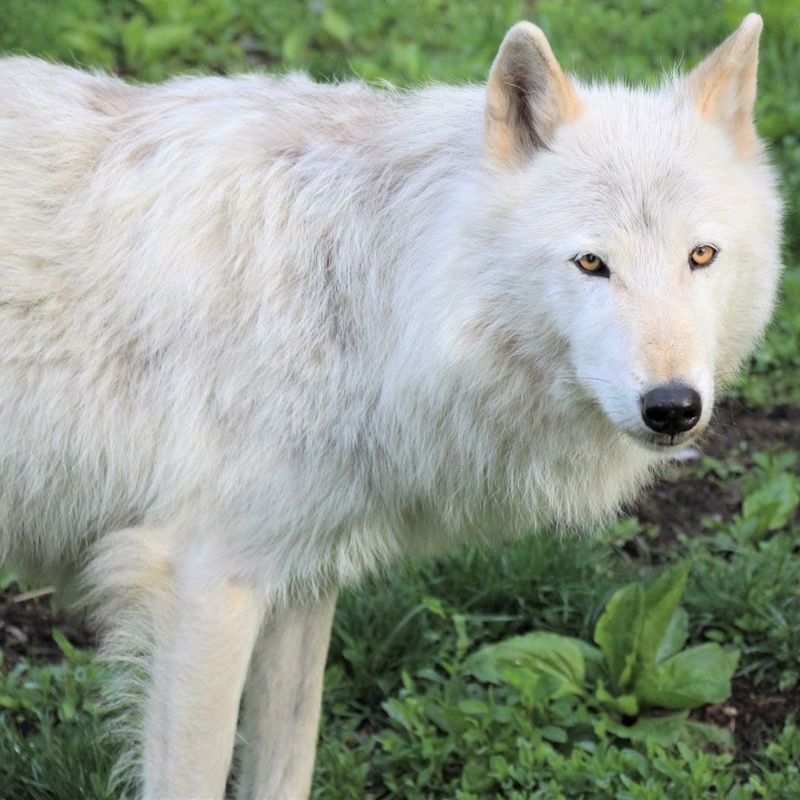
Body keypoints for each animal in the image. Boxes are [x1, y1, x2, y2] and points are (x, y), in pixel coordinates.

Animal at [0, 12, 781, 799]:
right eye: (592, 263)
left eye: (701, 256)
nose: (673, 408)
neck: (368, 292)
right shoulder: (203, 584)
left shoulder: (301, 579)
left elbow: (286, 765)